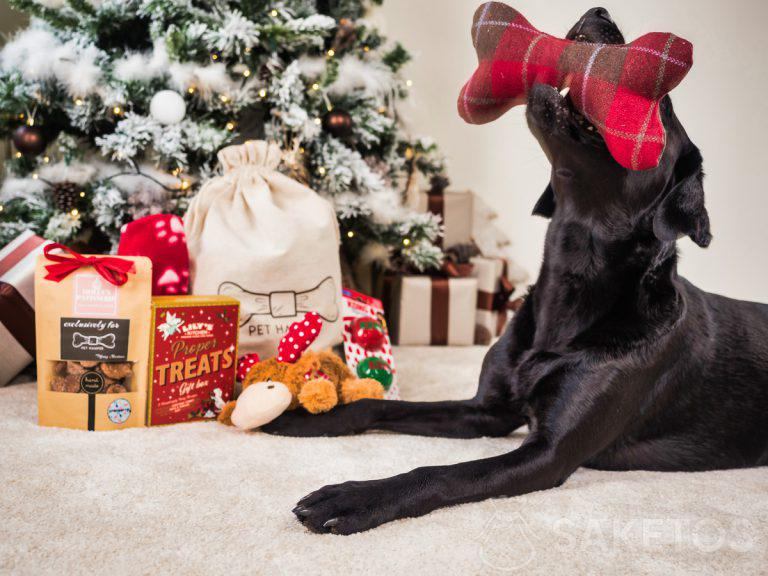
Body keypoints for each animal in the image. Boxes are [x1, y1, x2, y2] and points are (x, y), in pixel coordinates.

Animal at [264, 6, 768, 536]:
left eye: (663, 105)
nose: (599, 12)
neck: (573, 284)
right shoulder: (486, 410)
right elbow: (376, 404)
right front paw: (302, 418)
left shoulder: (547, 454)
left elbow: (437, 473)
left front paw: (352, 498)